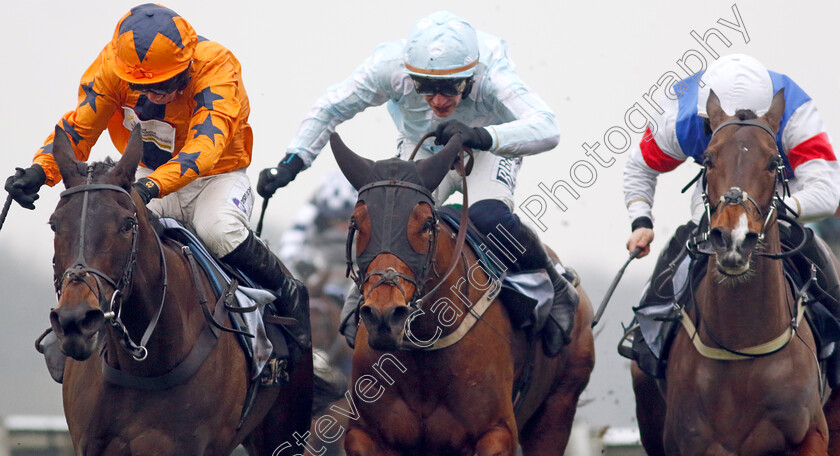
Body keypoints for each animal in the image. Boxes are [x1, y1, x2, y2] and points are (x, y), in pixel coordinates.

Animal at [328, 133, 596, 456]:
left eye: (426, 224)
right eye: (356, 222)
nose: (384, 315)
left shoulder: (496, 433)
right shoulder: (365, 435)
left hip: (557, 410)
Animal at [632, 91, 840, 454]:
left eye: (772, 162)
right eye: (709, 159)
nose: (734, 239)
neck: (741, 345)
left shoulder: (811, 435)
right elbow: (643, 163)